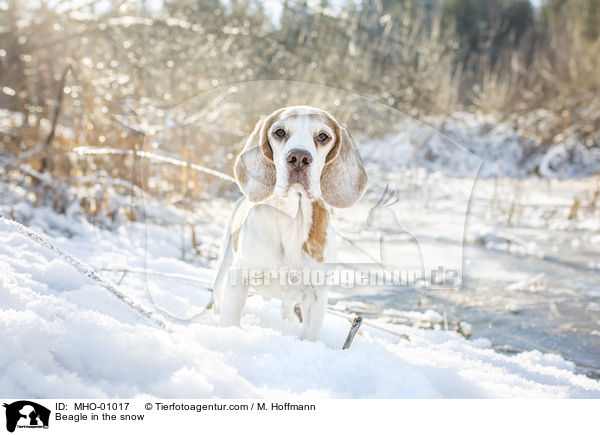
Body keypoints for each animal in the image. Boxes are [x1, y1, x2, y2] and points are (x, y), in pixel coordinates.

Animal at [213, 105, 368, 340]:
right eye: (279, 132)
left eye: (323, 136)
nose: (299, 157)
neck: (292, 220)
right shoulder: (238, 278)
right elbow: (230, 322)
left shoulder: (316, 295)